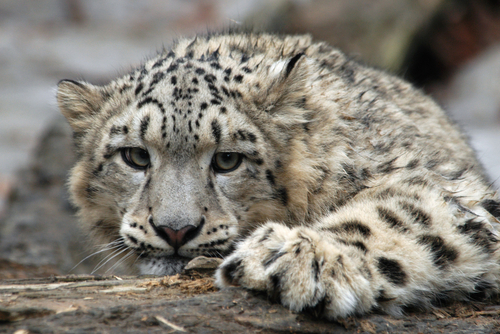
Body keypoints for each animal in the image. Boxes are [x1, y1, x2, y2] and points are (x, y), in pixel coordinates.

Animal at [56, 31, 498, 318]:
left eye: (227, 160)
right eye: (135, 156)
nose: (175, 230)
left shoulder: (454, 188)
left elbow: (402, 213)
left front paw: (301, 258)